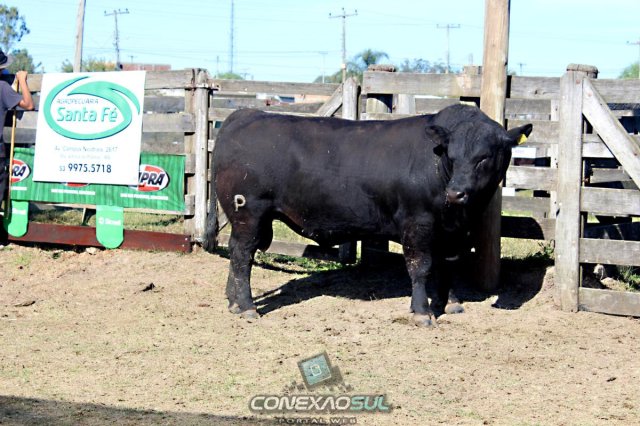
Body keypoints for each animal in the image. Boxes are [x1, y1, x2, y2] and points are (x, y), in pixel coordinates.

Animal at [203, 104, 532, 327]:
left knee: (237, 254)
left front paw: (451, 303)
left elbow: (448, 265)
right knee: (242, 254)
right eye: (451, 155)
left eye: (484, 157)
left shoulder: (452, 232)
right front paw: (422, 312)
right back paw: (247, 306)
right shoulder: (417, 224)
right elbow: (421, 267)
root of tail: (244, 114)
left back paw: (233, 301)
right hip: (249, 213)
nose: (456, 193)